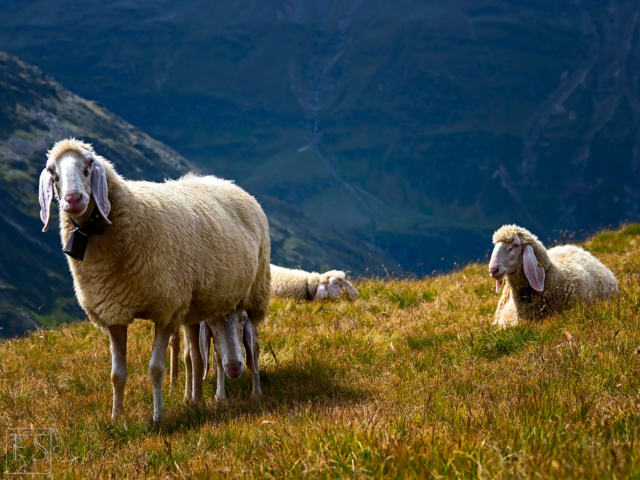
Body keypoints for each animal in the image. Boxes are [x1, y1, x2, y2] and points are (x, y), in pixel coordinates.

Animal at [38, 138, 270, 420]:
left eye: (89, 165)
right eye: (53, 173)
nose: (73, 200)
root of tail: (227, 182)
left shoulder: (166, 310)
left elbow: (155, 369)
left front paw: (158, 417)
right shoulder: (114, 313)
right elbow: (117, 374)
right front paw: (116, 418)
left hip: (255, 295)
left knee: (253, 347)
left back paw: (255, 393)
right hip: (198, 307)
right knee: (196, 355)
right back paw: (196, 401)